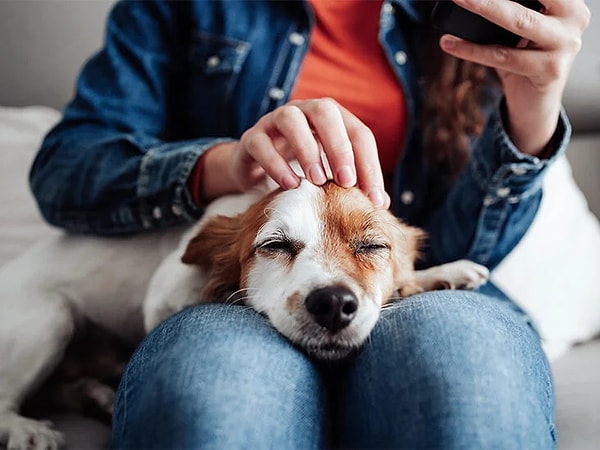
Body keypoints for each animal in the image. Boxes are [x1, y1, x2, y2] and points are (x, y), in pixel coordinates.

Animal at [0, 178, 488, 448]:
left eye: (372, 246)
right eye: (275, 245)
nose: (332, 303)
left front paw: (441, 272)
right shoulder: (161, 296)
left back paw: (94, 395)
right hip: (50, 319)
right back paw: (26, 429)